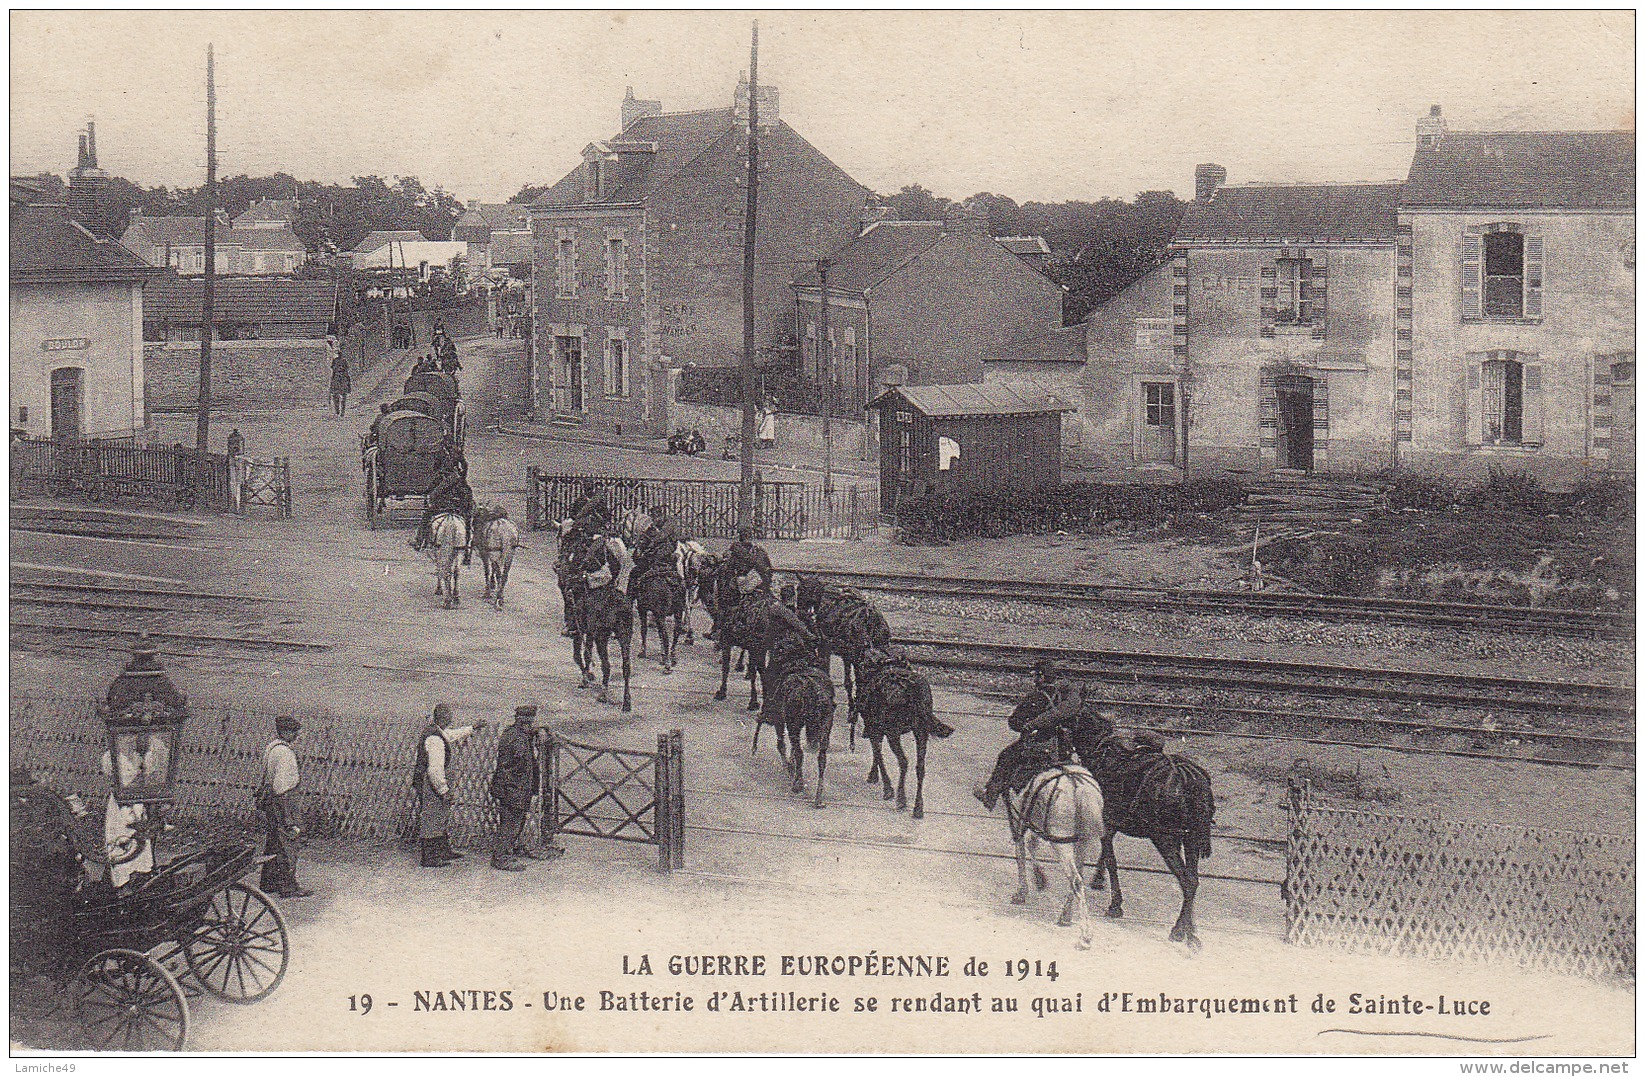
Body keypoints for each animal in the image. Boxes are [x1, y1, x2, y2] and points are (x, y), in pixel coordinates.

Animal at [848, 647, 954, 818]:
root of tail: (913, 690)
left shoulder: (875, 727)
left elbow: (878, 754)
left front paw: (886, 788)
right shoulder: (877, 728)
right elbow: (877, 753)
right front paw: (875, 776)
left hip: (894, 732)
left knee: (904, 761)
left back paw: (901, 798)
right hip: (920, 730)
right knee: (920, 767)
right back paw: (918, 807)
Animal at [1000, 759, 1105, 953]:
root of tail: (1078, 786)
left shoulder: (1020, 819)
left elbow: (1022, 851)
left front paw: (1025, 889)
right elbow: (1031, 845)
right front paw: (1039, 879)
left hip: (1060, 842)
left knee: (1076, 880)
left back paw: (1085, 937)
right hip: (1081, 841)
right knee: (1078, 877)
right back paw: (1066, 916)